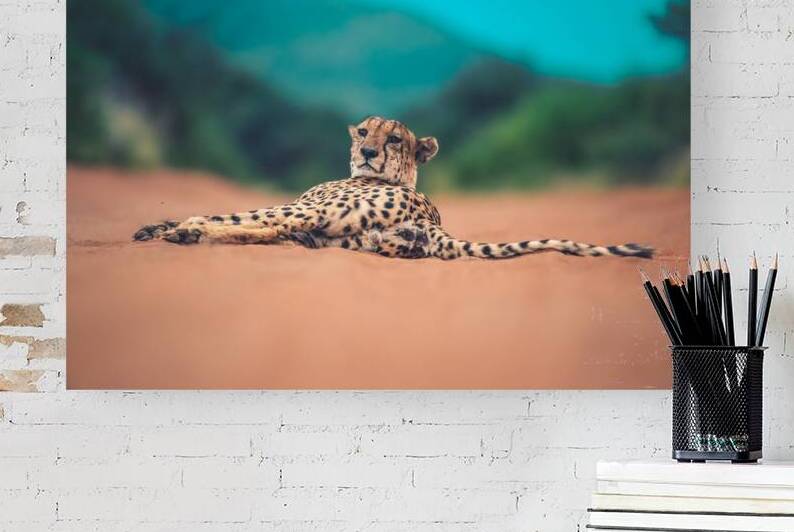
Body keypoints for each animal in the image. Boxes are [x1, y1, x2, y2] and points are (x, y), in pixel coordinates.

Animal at [133, 116, 653, 260]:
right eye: (365, 132)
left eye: (395, 139)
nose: (366, 152)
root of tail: (430, 222)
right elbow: (254, 225)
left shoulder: (302, 208)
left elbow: (238, 215)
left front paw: (170, 226)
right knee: (268, 231)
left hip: (308, 214)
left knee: (247, 222)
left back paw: (185, 232)